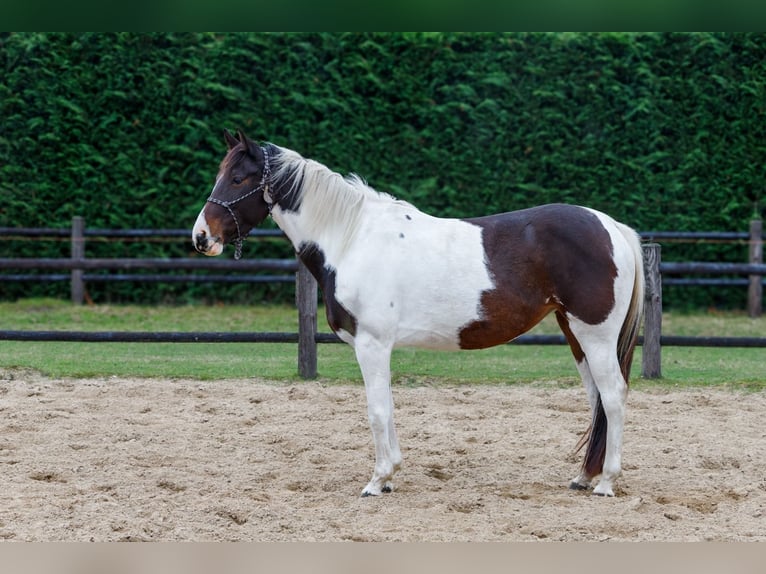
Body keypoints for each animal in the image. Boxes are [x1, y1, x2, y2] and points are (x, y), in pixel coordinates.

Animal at [194, 130, 648, 500]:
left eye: (239, 179)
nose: (201, 237)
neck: (352, 238)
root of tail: (612, 227)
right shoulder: (379, 347)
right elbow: (388, 406)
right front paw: (391, 476)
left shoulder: (371, 344)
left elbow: (377, 409)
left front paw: (377, 480)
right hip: (575, 334)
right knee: (596, 400)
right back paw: (584, 477)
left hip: (596, 336)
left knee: (613, 396)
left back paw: (607, 483)